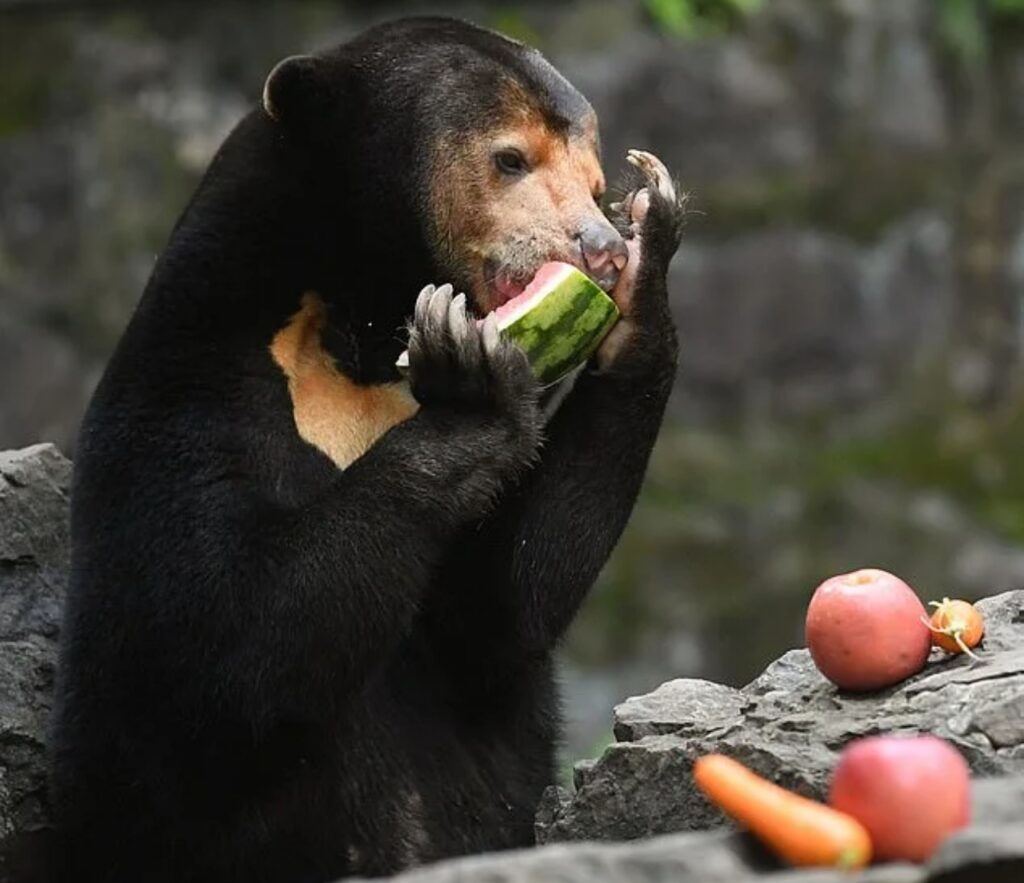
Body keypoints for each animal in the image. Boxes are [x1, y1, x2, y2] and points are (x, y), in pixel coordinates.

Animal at [49, 15, 688, 883]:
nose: (598, 249)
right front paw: (472, 380)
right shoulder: (187, 390)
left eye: (595, 184)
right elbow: (223, 647)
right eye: (510, 158)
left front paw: (648, 257)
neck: (361, 329)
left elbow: (502, 604)